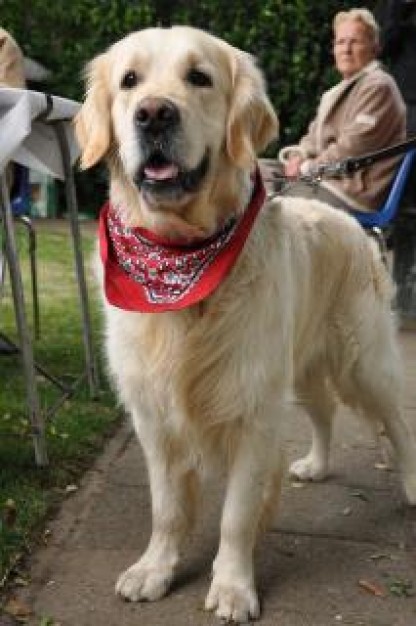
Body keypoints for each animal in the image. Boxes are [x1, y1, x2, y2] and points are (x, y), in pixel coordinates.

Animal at [74, 26, 416, 620]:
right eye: (129, 80)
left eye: (199, 78)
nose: (154, 114)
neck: (179, 257)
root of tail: (354, 222)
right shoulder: (153, 414)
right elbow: (166, 507)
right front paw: (155, 569)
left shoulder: (253, 408)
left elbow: (236, 515)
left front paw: (233, 587)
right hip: (302, 366)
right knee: (324, 412)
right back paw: (316, 464)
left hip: (363, 361)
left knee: (396, 421)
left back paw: (413, 488)